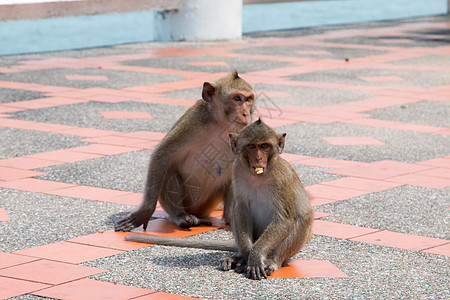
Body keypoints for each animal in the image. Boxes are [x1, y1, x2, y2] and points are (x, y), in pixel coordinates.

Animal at [115, 71, 256, 231]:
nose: (246, 114)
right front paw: (144, 213)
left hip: (209, 202)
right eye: (237, 98)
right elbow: (162, 154)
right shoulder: (191, 125)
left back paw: (229, 218)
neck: (221, 126)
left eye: (249, 99)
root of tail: (198, 212)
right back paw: (180, 216)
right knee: (169, 171)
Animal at [123, 119, 312, 282]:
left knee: (303, 219)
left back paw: (271, 261)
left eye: (265, 146)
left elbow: (283, 220)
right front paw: (247, 254)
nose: (258, 159)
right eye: (252, 146)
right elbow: (241, 210)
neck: (258, 176)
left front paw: (255, 255)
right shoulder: (237, 169)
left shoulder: (282, 178)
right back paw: (238, 258)